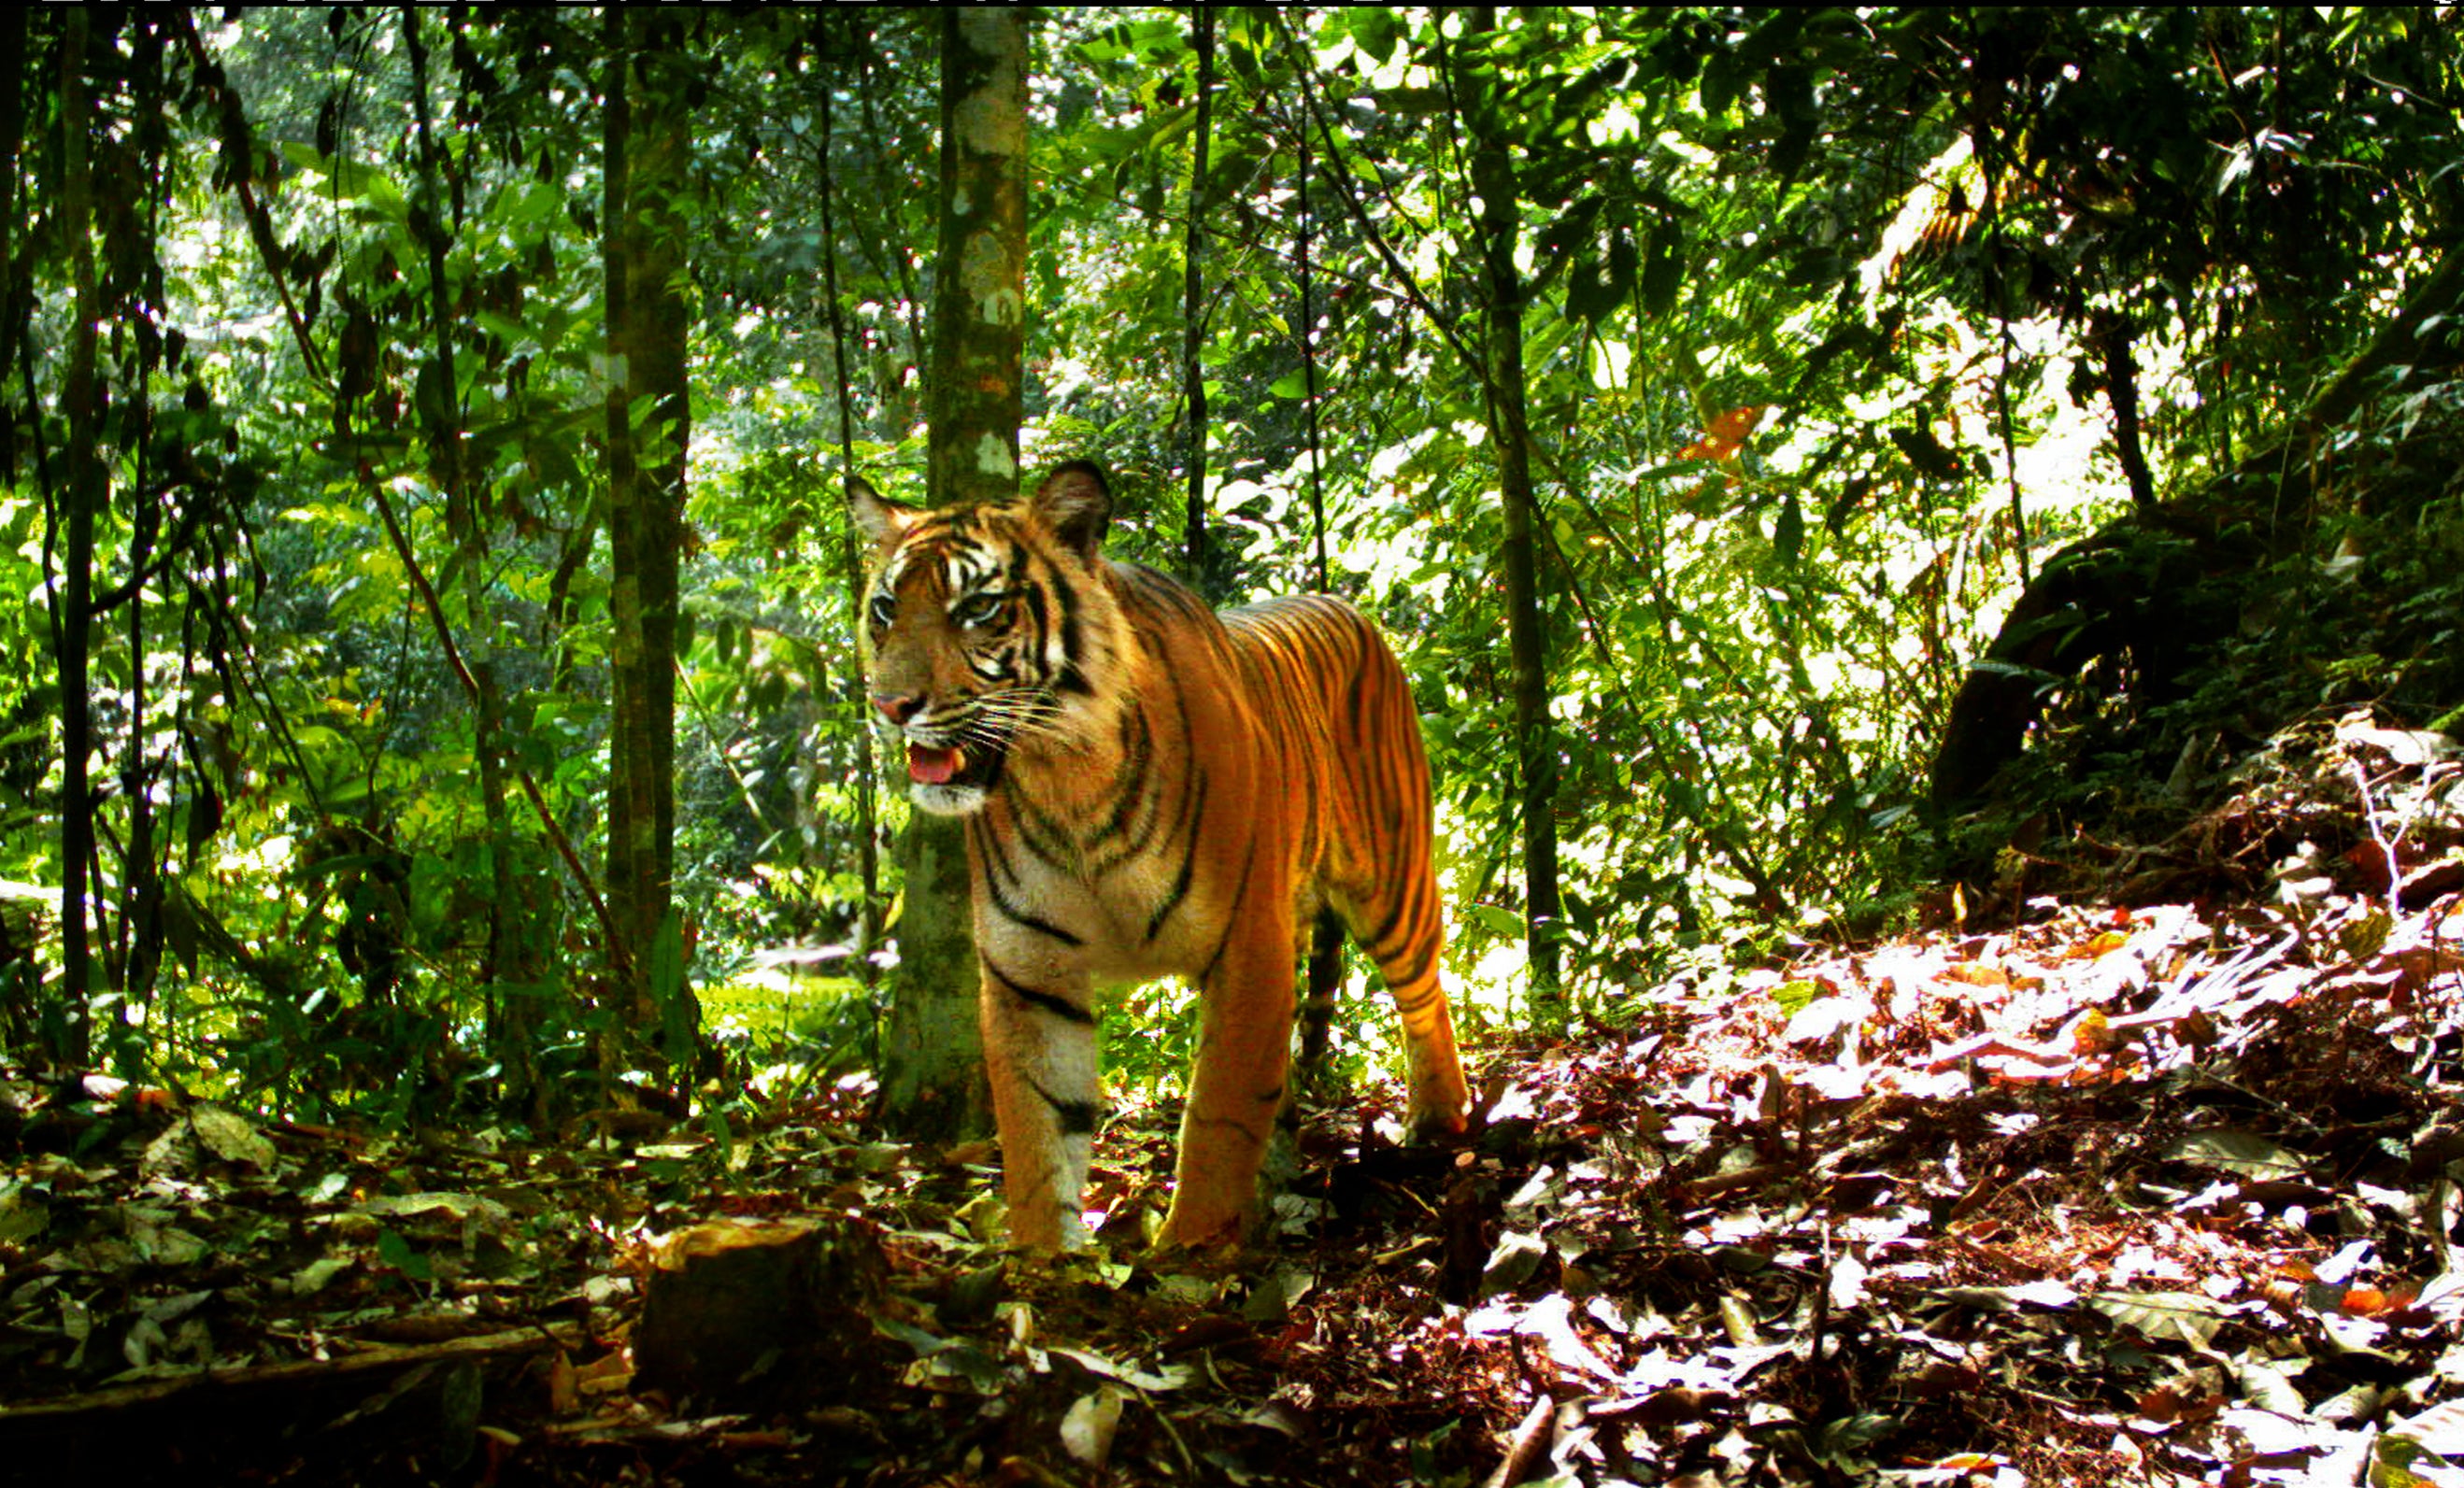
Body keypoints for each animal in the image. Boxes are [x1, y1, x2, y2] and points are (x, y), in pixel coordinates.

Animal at [852, 458, 1459, 1251]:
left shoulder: (1247, 945)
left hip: (1393, 885)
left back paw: (1440, 1120)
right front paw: (1043, 1261)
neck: (1067, 779)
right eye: (886, 606)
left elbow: (1219, 1116)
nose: (890, 705)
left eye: (979, 607)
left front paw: (1189, 1252)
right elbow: (1037, 1134)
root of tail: (1343, 602)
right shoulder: (1029, 972)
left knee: (1426, 996)